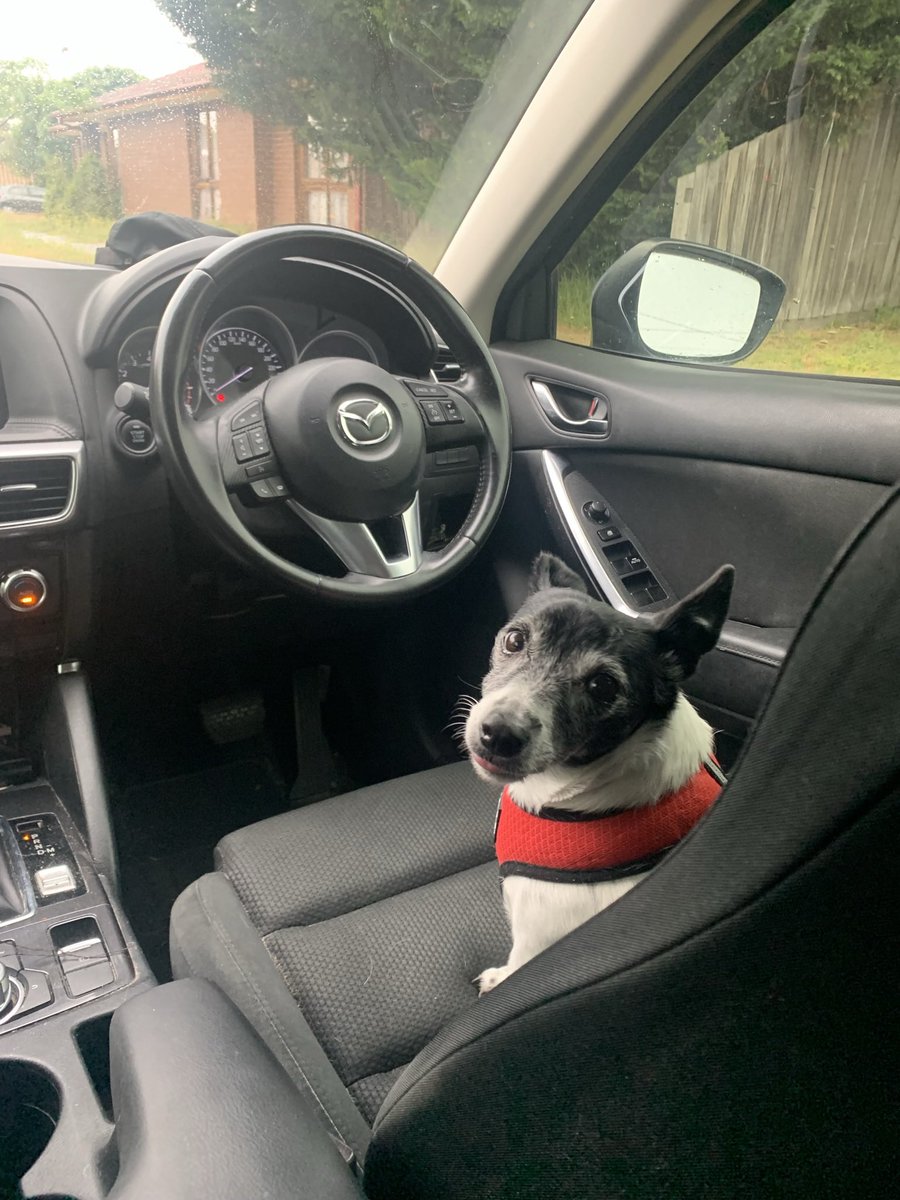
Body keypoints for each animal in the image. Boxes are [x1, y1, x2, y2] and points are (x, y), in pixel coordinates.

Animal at [468, 554, 734, 993]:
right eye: (514, 641)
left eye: (603, 686)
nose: (499, 734)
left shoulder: (534, 939)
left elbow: (514, 970)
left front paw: (497, 978)